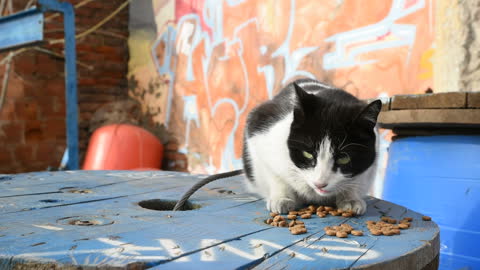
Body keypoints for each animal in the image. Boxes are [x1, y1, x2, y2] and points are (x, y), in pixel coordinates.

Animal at [242, 78, 380, 215]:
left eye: (344, 158)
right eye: (307, 154)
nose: (320, 184)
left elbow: (356, 180)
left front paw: (350, 199)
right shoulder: (259, 131)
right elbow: (274, 174)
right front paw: (282, 198)